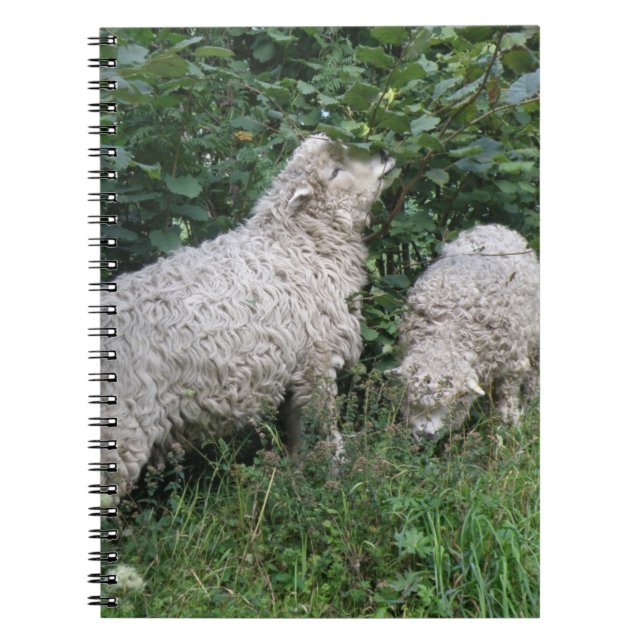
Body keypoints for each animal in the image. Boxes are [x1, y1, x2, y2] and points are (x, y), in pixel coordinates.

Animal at [101, 134, 395, 500]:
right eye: (335, 171)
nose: (383, 154)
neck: (299, 245)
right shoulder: (317, 360)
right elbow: (322, 426)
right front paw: (335, 474)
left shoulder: (297, 368)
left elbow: (297, 429)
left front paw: (299, 474)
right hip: (121, 431)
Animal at [390, 224, 539, 440]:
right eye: (412, 401)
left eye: (449, 402)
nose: (425, 434)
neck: (446, 332)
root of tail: (491, 226)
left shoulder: (513, 365)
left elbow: (508, 397)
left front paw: (511, 425)